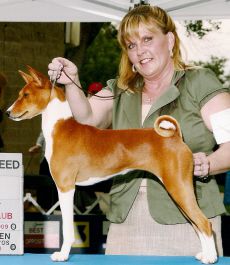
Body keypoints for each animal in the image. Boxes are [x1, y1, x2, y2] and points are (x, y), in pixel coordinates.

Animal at [5, 65, 217, 262]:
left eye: (25, 95)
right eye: (20, 94)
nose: (7, 113)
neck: (60, 127)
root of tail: (174, 136)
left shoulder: (65, 187)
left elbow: (67, 228)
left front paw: (63, 254)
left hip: (178, 187)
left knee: (205, 223)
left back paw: (211, 258)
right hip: (179, 191)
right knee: (197, 224)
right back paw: (204, 254)